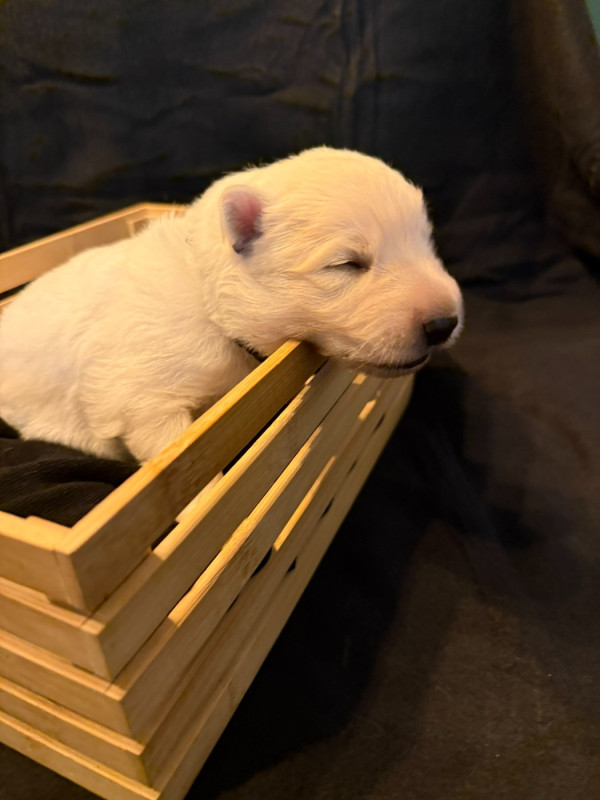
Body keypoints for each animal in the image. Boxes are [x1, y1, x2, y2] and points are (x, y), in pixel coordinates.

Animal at [0, 147, 463, 462]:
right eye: (347, 264)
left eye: (425, 241)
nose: (444, 323)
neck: (207, 301)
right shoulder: (137, 395)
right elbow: (168, 446)